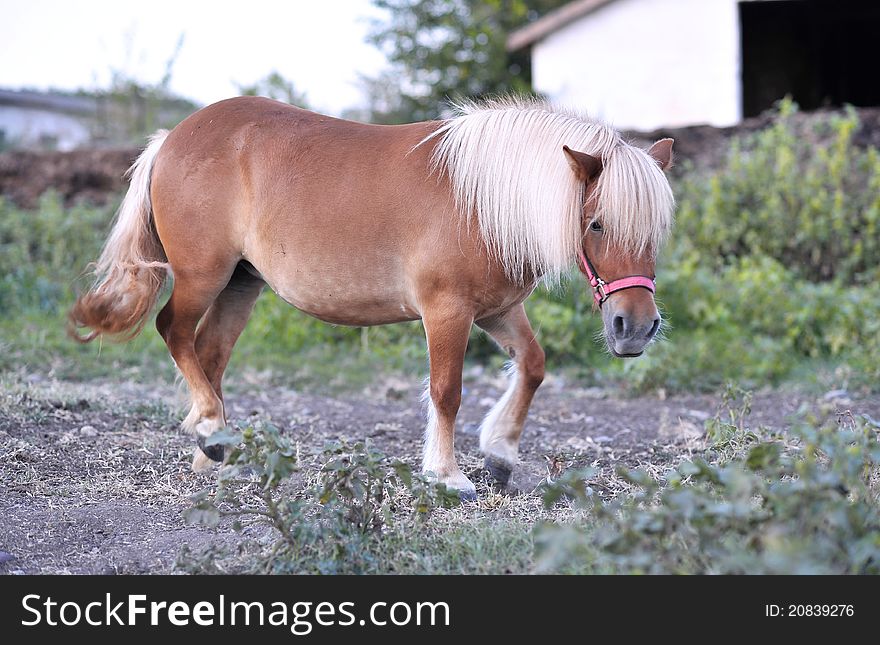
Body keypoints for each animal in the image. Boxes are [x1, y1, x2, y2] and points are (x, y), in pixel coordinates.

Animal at [70, 95, 672, 498]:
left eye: (657, 230)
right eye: (596, 224)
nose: (635, 328)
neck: (482, 199)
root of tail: (170, 138)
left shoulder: (498, 311)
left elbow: (533, 365)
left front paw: (500, 452)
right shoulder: (447, 311)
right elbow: (446, 392)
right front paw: (447, 475)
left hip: (242, 282)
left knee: (210, 352)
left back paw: (213, 450)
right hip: (203, 275)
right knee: (174, 331)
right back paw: (212, 429)